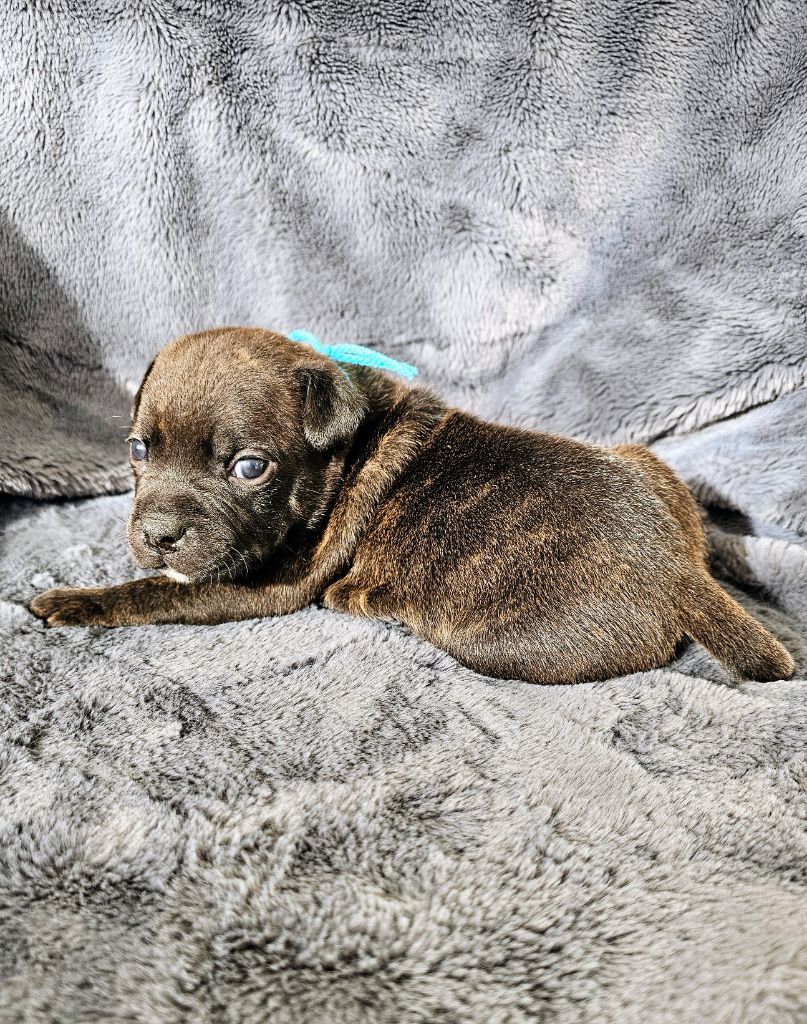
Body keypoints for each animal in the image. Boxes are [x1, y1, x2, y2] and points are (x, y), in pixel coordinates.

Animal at [30, 327, 795, 684]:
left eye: (249, 467)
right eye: (137, 449)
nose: (159, 533)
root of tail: (681, 575)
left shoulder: (265, 583)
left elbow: (154, 592)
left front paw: (71, 601)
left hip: (491, 640)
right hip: (651, 465)